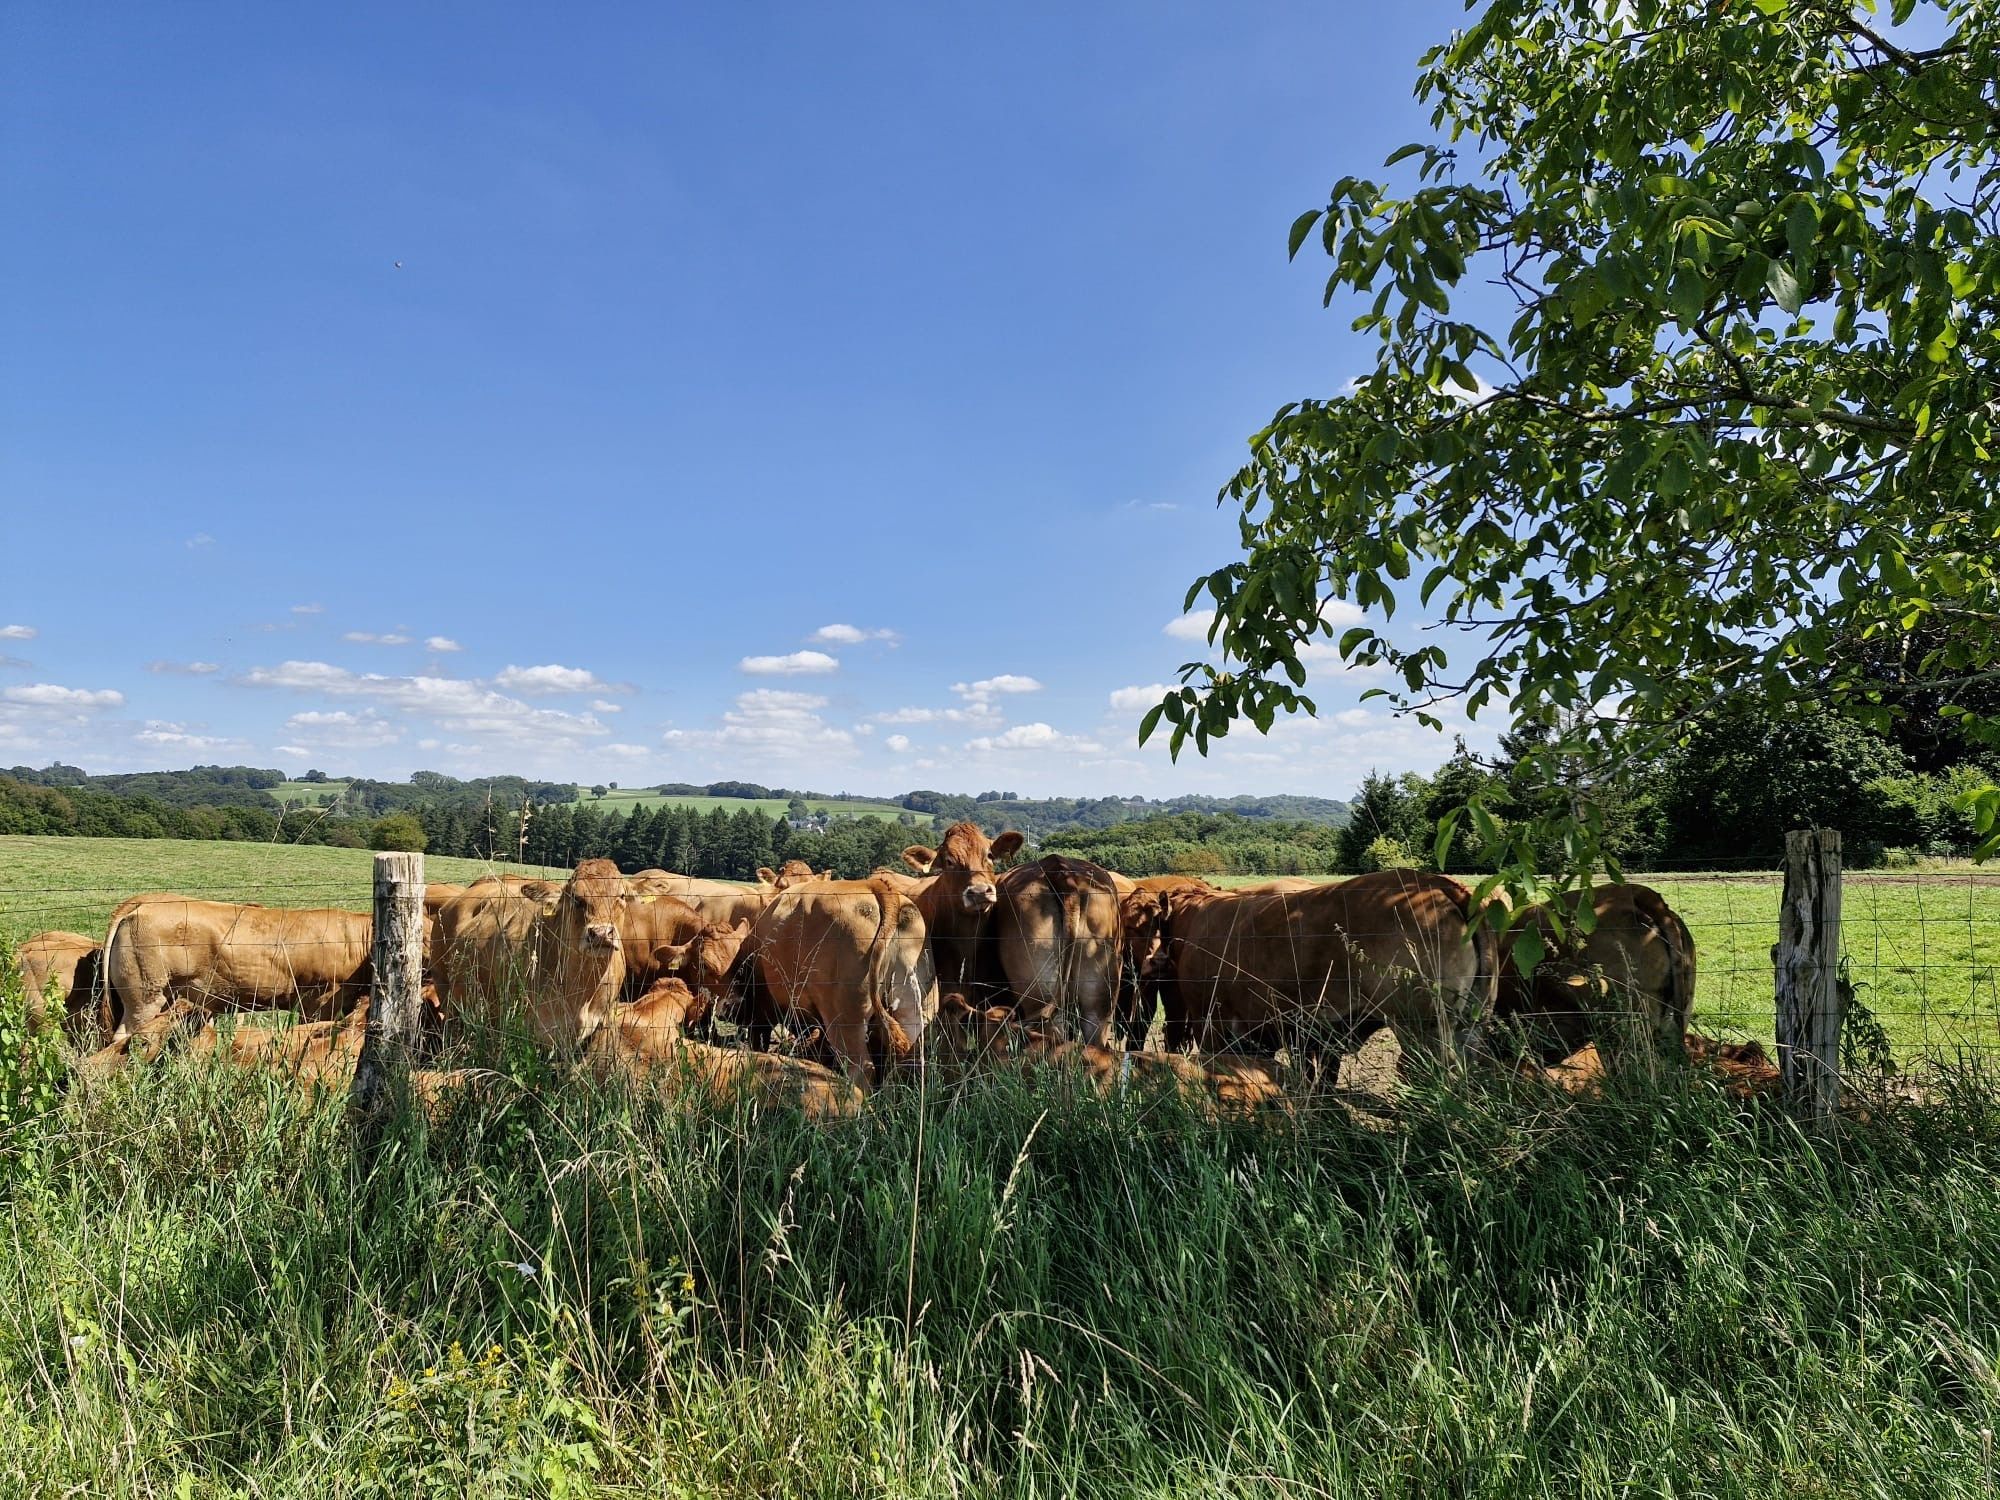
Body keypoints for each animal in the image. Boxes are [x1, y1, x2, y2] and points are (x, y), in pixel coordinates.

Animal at [732, 875, 934, 1087]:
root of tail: (874, 885)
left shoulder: (761, 1006)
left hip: (844, 1015)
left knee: (861, 1067)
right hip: (914, 1007)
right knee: (909, 1060)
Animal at [1118, 869, 1499, 1071]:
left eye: (1141, 926)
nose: (1150, 963)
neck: (1192, 916)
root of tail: (1437, 882)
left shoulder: (1211, 1024)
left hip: (1422, 1029)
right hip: (1469, 1027)